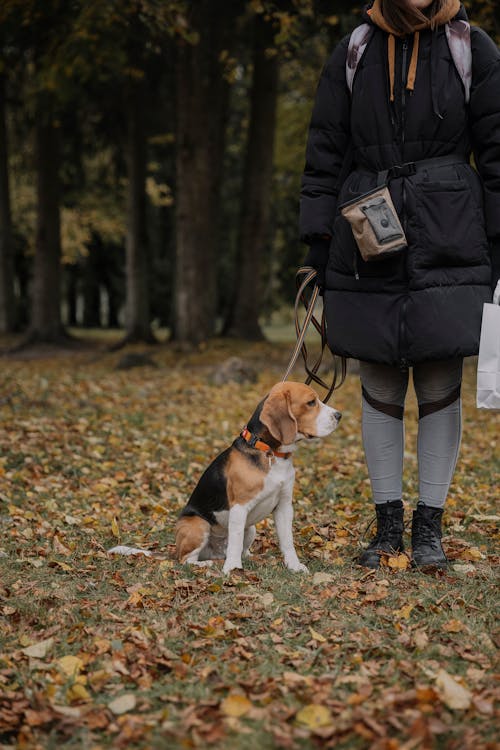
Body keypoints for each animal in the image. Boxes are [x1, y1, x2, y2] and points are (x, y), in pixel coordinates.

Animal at [174, 384, 342, 580]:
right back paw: (205, 564)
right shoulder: (239, 507)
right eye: (310, 402)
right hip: (198, 525)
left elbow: (287, 541)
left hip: (251, 528)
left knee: (239, 549)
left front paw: (294, 566)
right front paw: (233, 568)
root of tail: (215, 553)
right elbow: (236, 540)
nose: (339, 415)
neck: (270, 453)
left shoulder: (284, 506)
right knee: (185, 559)